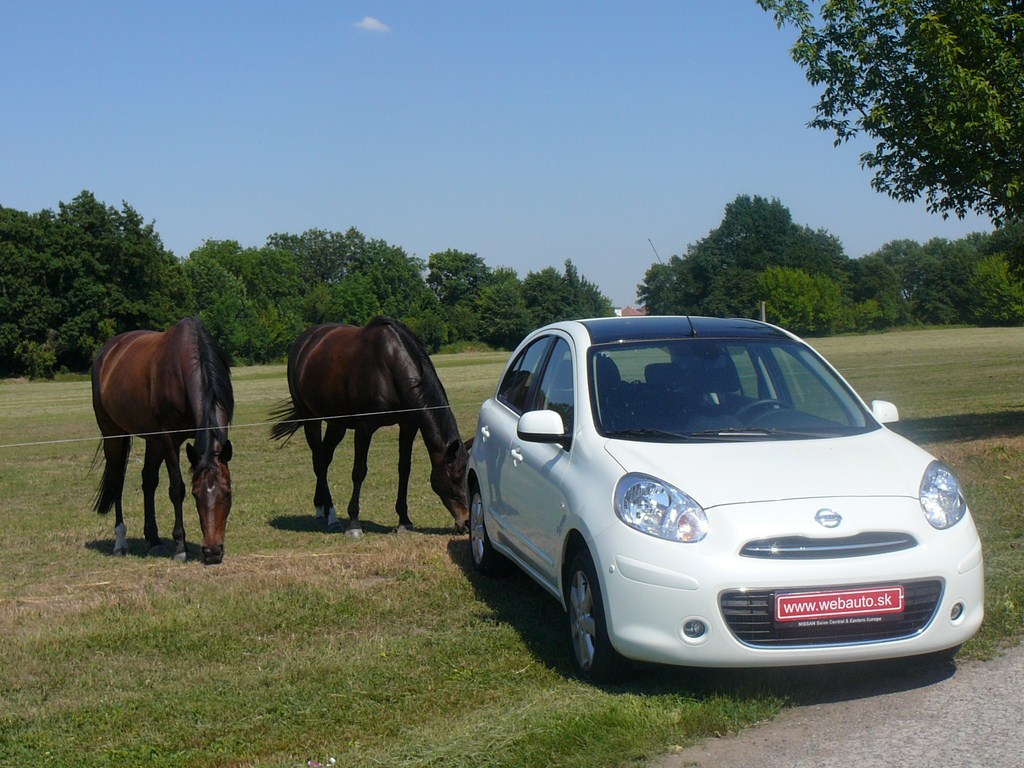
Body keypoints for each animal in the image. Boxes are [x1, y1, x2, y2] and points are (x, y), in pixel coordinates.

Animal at [90, 317, 234, 565]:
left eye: (227, 494)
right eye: (196, 494)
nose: (212, 552)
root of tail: (106, 353)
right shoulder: (169, 439)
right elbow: (176, 489)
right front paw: (180, 547)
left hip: (153, 440)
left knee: (148, 480)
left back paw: (154, 539)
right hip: (114, 433)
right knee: (117, 481)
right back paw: (120, 542)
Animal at [268, 315, 468, 536]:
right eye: (455, 477)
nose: (467, 522)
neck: (390, 366)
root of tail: (304, 342)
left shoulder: (408, 425)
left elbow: (404, 468)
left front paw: (404, 520)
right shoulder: (364, 427)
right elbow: (359, 471)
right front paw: (354, 524)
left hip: (337, 424)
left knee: (325, 458)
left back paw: (323, 510)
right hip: (311, 419)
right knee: (319, 461)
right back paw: (330, 515)